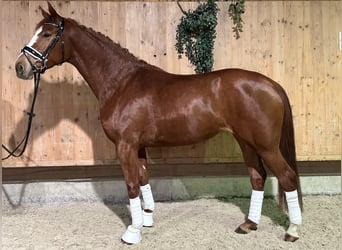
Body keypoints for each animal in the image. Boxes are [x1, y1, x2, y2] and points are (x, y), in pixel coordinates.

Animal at [15, 1, 302, 244]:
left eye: (47, 35)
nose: (20, 67)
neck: (121, 82)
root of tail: (271, 84)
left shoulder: (125, 145)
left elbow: (131, 185)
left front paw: (132, 232)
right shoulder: (138, 146)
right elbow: (143, 179)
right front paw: (146, 220)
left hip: (266, 146)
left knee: (287, 177)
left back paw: (293, 231)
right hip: (246, 142)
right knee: (258, 176)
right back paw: (249, 224)